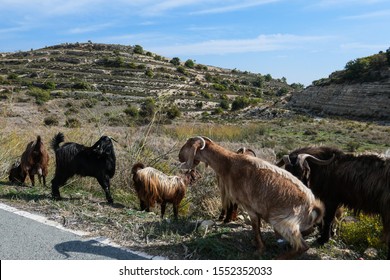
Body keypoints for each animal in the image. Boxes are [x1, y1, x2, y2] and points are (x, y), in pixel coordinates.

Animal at [179, 137, 322, 260]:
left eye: (188, 144)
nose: (179, 156)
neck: (228, 164)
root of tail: (312, 206)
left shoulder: (250, 207)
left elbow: (255, 227)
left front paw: (259, 249)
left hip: (281, 221)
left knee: (303, 246)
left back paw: (279, 258)